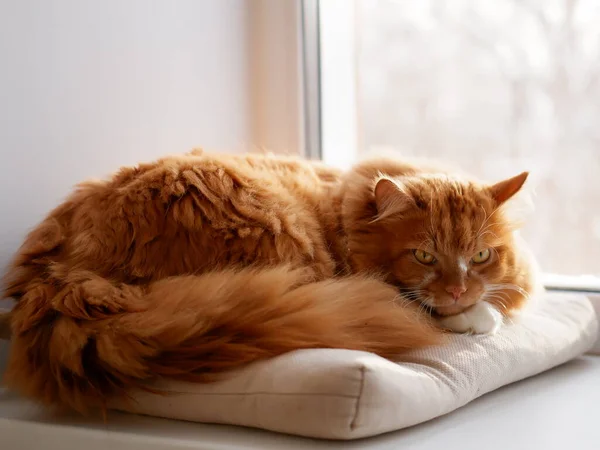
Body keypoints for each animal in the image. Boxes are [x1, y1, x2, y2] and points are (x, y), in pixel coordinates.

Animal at [0, 150, 536, 412]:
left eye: (481, 256)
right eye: (424, 256)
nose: (459, 289)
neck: (347, 212)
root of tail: (64, 277)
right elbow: (435, 310)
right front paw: (475, 316)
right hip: (273, 226)